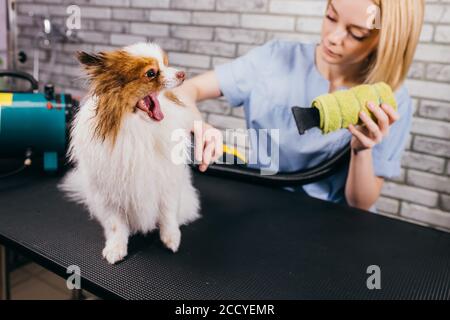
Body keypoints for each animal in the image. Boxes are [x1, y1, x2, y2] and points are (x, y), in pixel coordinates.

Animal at [58, 42, 200, 264]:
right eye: (151, 73)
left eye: (167, 63)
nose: (182, 74)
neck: (138, 127)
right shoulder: (110, 193)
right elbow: (116, 225)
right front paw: (116, 248)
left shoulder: (167, 182)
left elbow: (168, 213)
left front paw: (171, 238)